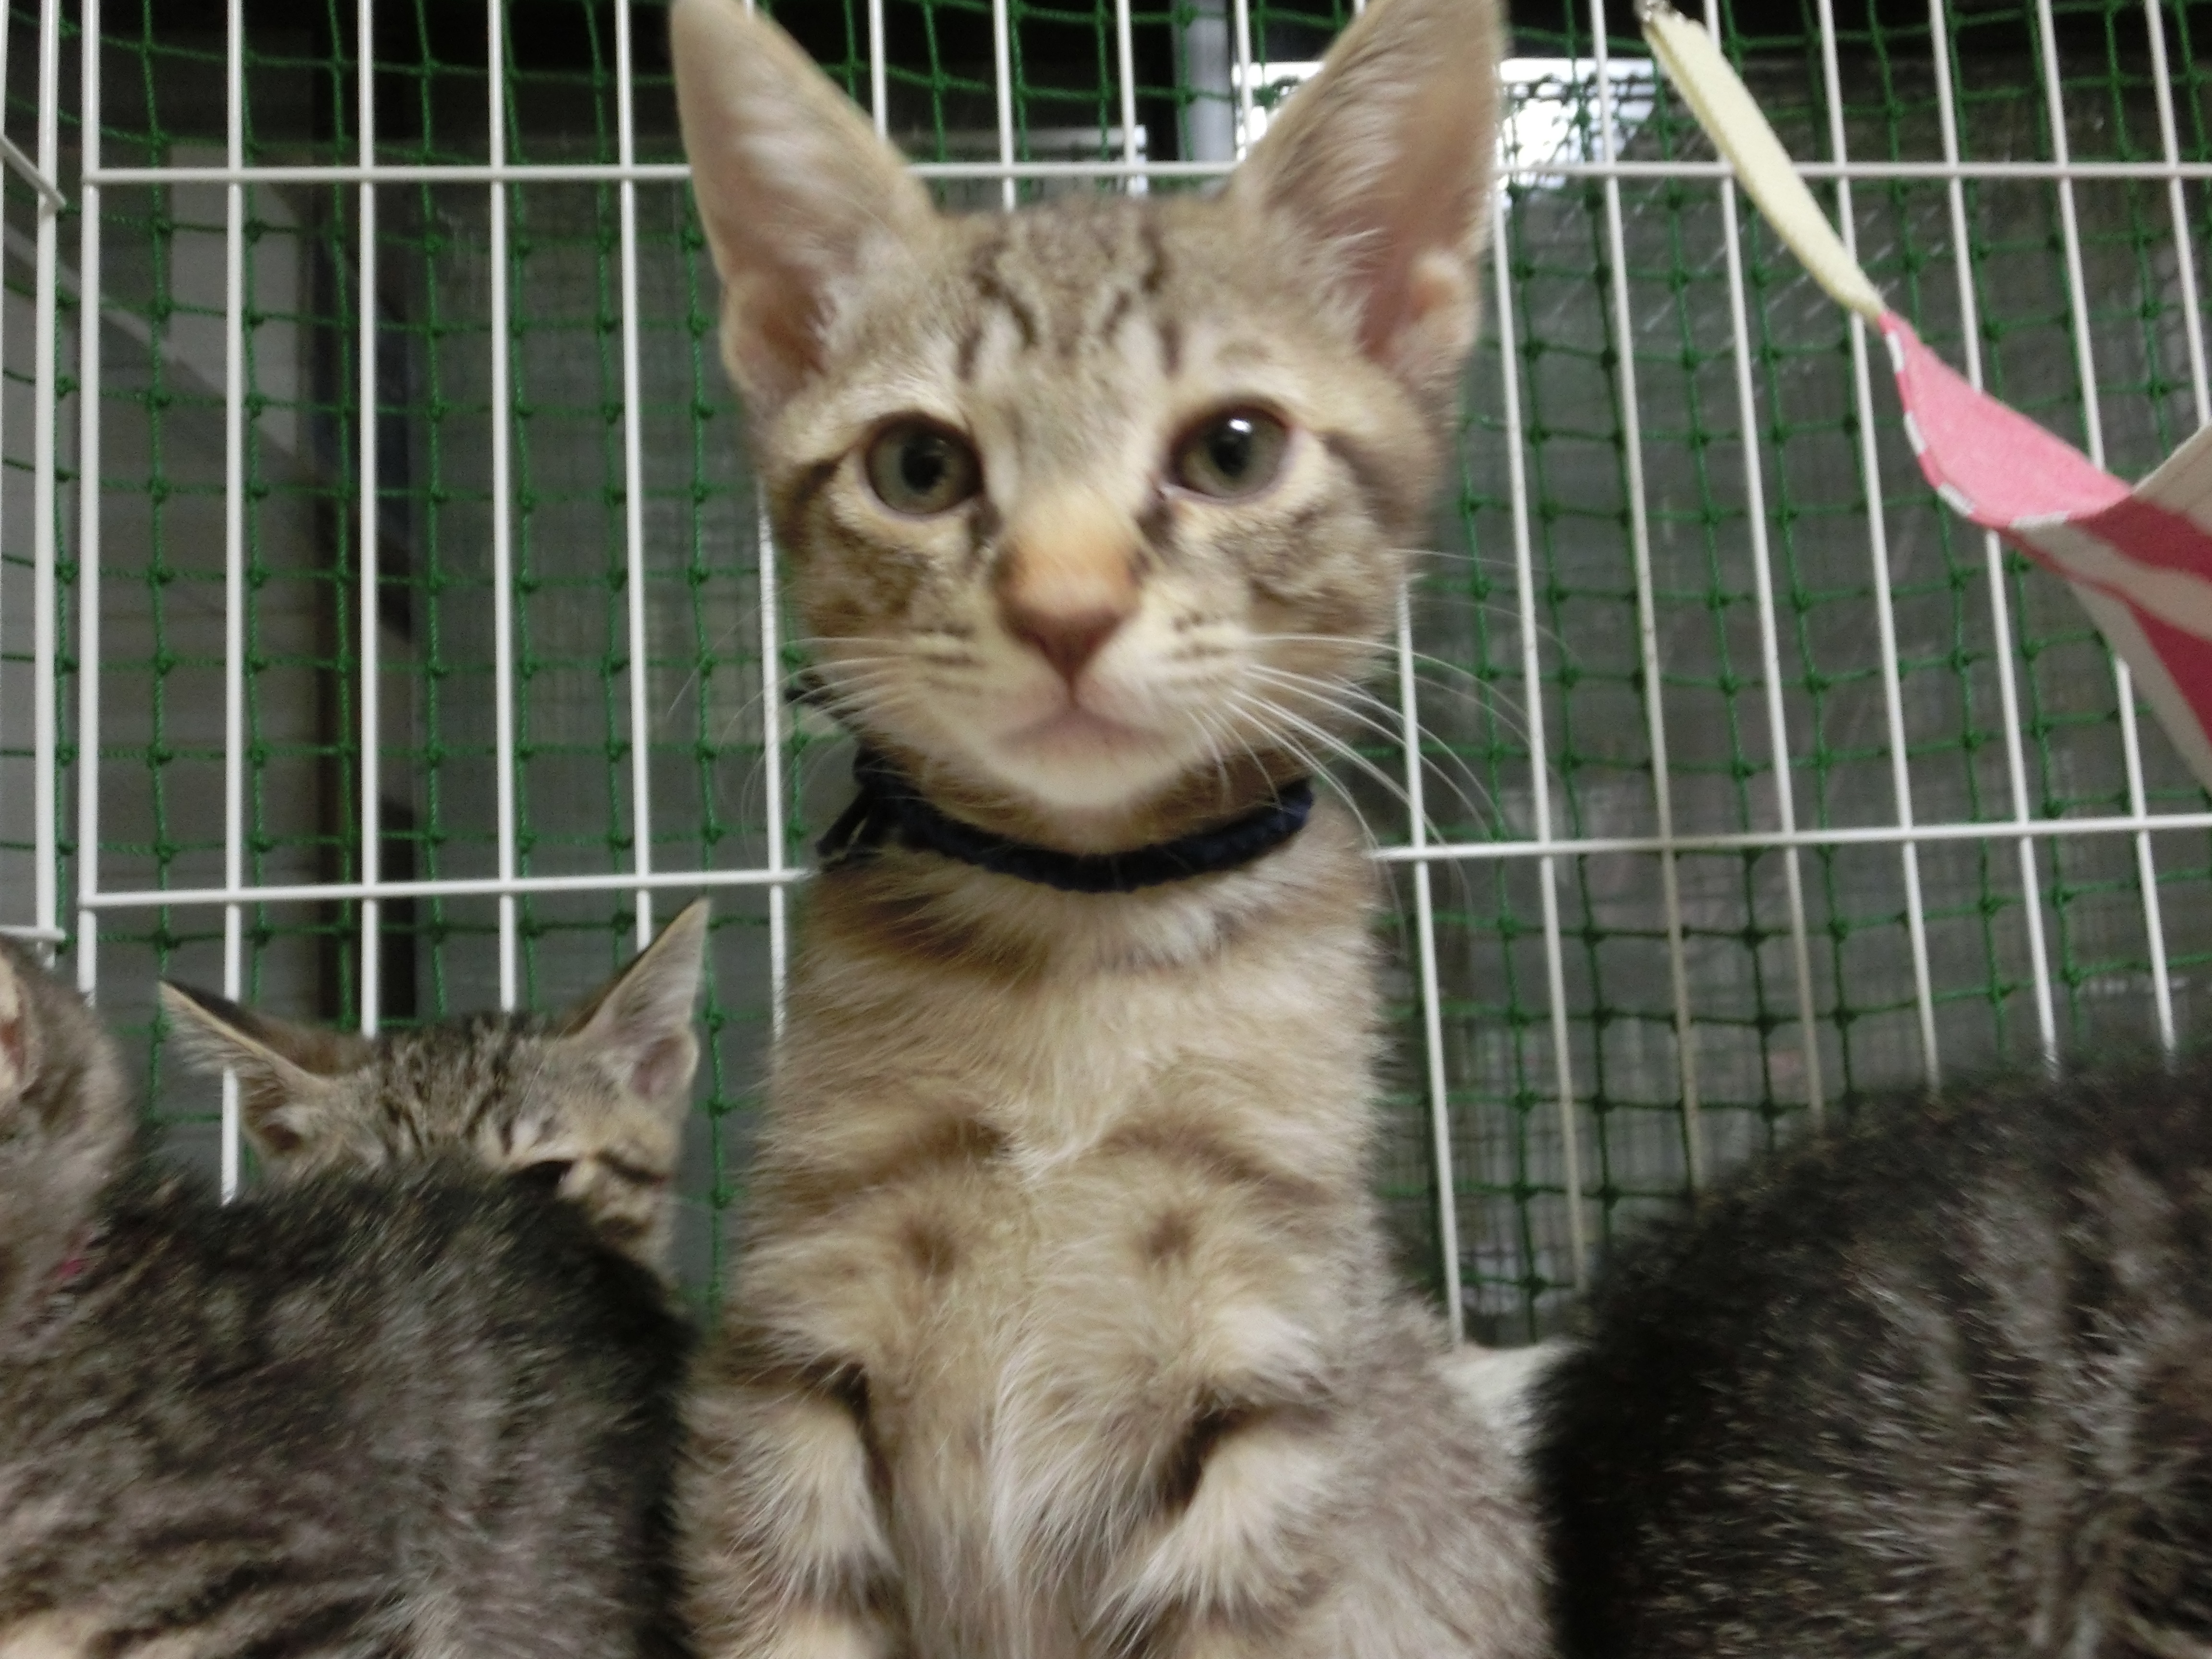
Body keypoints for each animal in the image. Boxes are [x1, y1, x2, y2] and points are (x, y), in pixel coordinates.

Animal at [666, 0, 1545, 1655]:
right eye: (919, 466)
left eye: (1235, 449)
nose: (1064, 609)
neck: (1081, 928)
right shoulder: (792, 1344)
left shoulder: (1274, 1375)